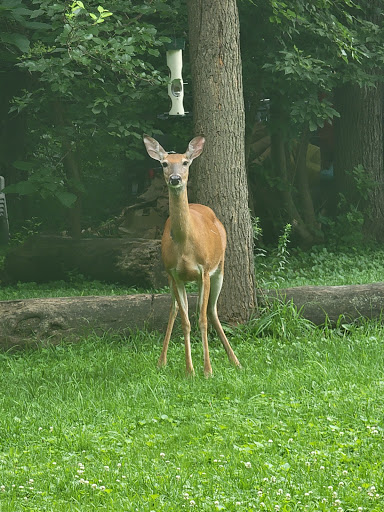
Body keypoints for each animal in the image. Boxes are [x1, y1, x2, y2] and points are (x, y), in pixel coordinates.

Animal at [142, 135, 242, 376]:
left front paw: (207, 370)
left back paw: (235, 360)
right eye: (164, 163)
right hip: (174, 279)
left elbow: (203, 319)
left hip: (219, 267)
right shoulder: (174, 274)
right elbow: (186, 321)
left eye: (185, 162)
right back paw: (162, 361)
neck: (185, 245)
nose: (175, 178)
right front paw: (190, 371)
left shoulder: (204, 270)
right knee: (176, 309)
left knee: (212, 310)